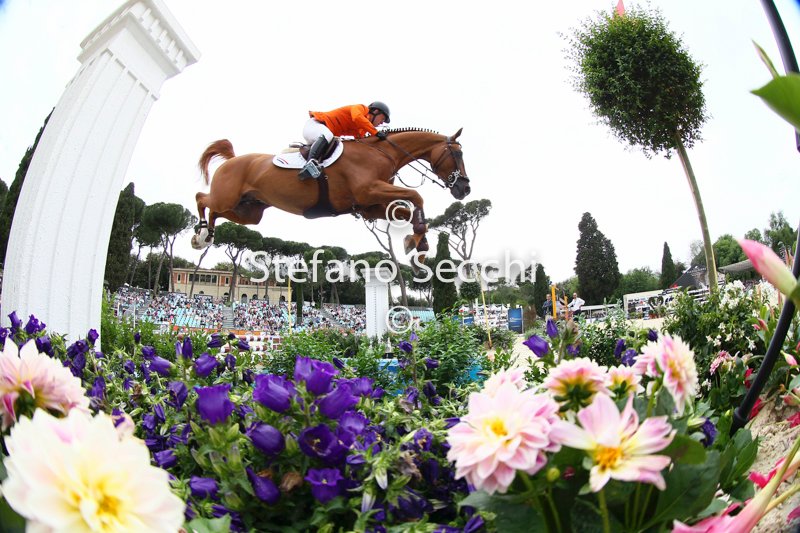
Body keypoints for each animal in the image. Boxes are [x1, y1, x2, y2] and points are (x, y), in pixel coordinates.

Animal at [191, 128, 471, 267]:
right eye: (458, 154)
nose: (465, 188)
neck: (381, 153)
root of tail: (232, 160)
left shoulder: (371, 205)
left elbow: (409, 209)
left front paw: (418, 243)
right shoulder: (369, 190)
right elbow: (416, 196)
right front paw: (418, 239)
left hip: (249, 211)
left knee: (215, 211)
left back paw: (206, 236)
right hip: (228, 199)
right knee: (202, 198)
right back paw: (201, 234)